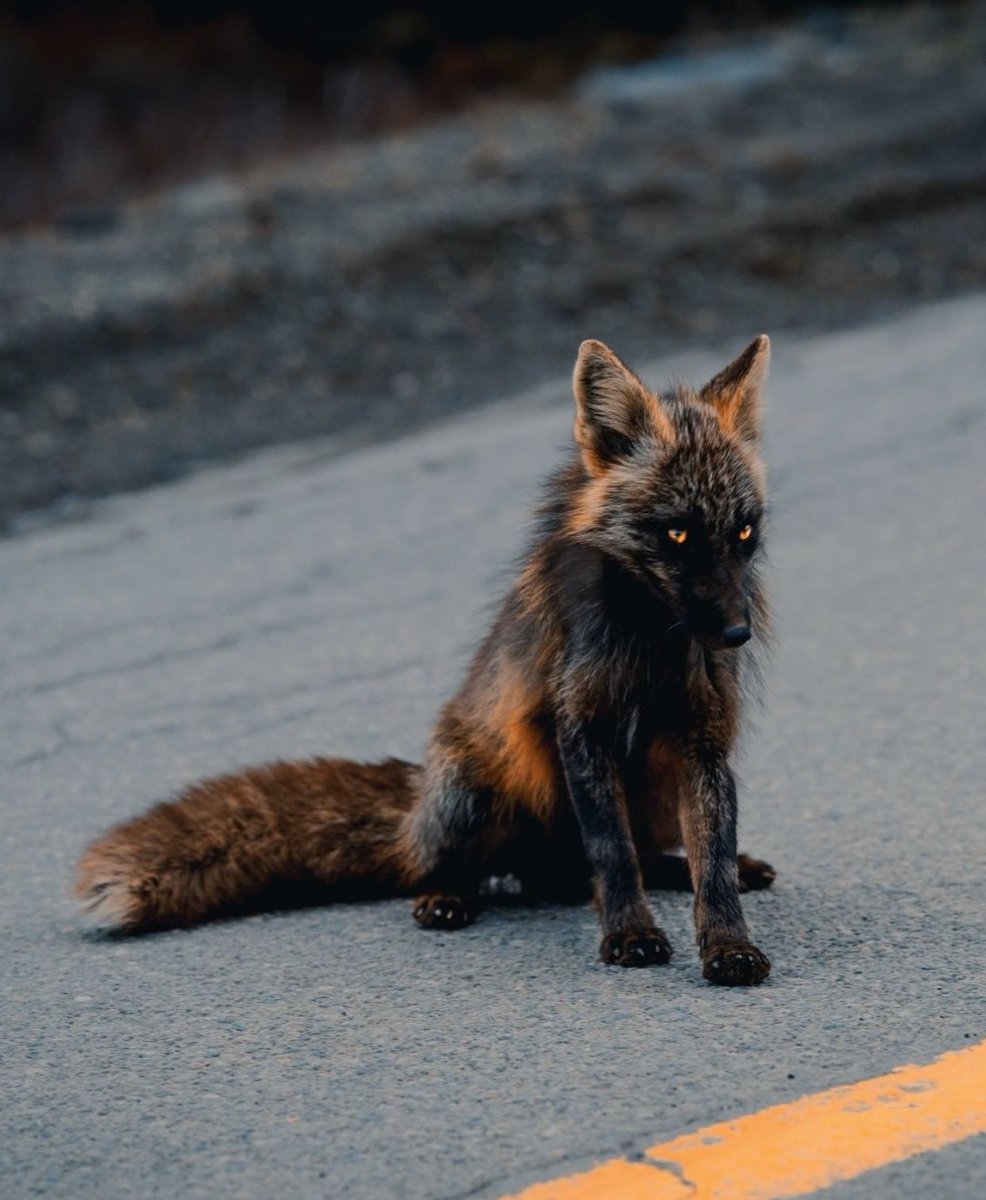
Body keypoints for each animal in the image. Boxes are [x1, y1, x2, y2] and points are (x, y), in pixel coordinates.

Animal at [76, 335, 777, 985]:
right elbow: (611, 852)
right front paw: (630, 934)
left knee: (610, 866)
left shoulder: (702, 740)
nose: (737, 633)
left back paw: (713, 869)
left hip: (650, 792)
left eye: (743, 532)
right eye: (677, 533)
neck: (648, 646)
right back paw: (445, 897)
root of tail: (415, 807)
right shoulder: (581, 729)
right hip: (476, 793)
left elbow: (712, 862)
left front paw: (727, 945)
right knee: (484, 871)